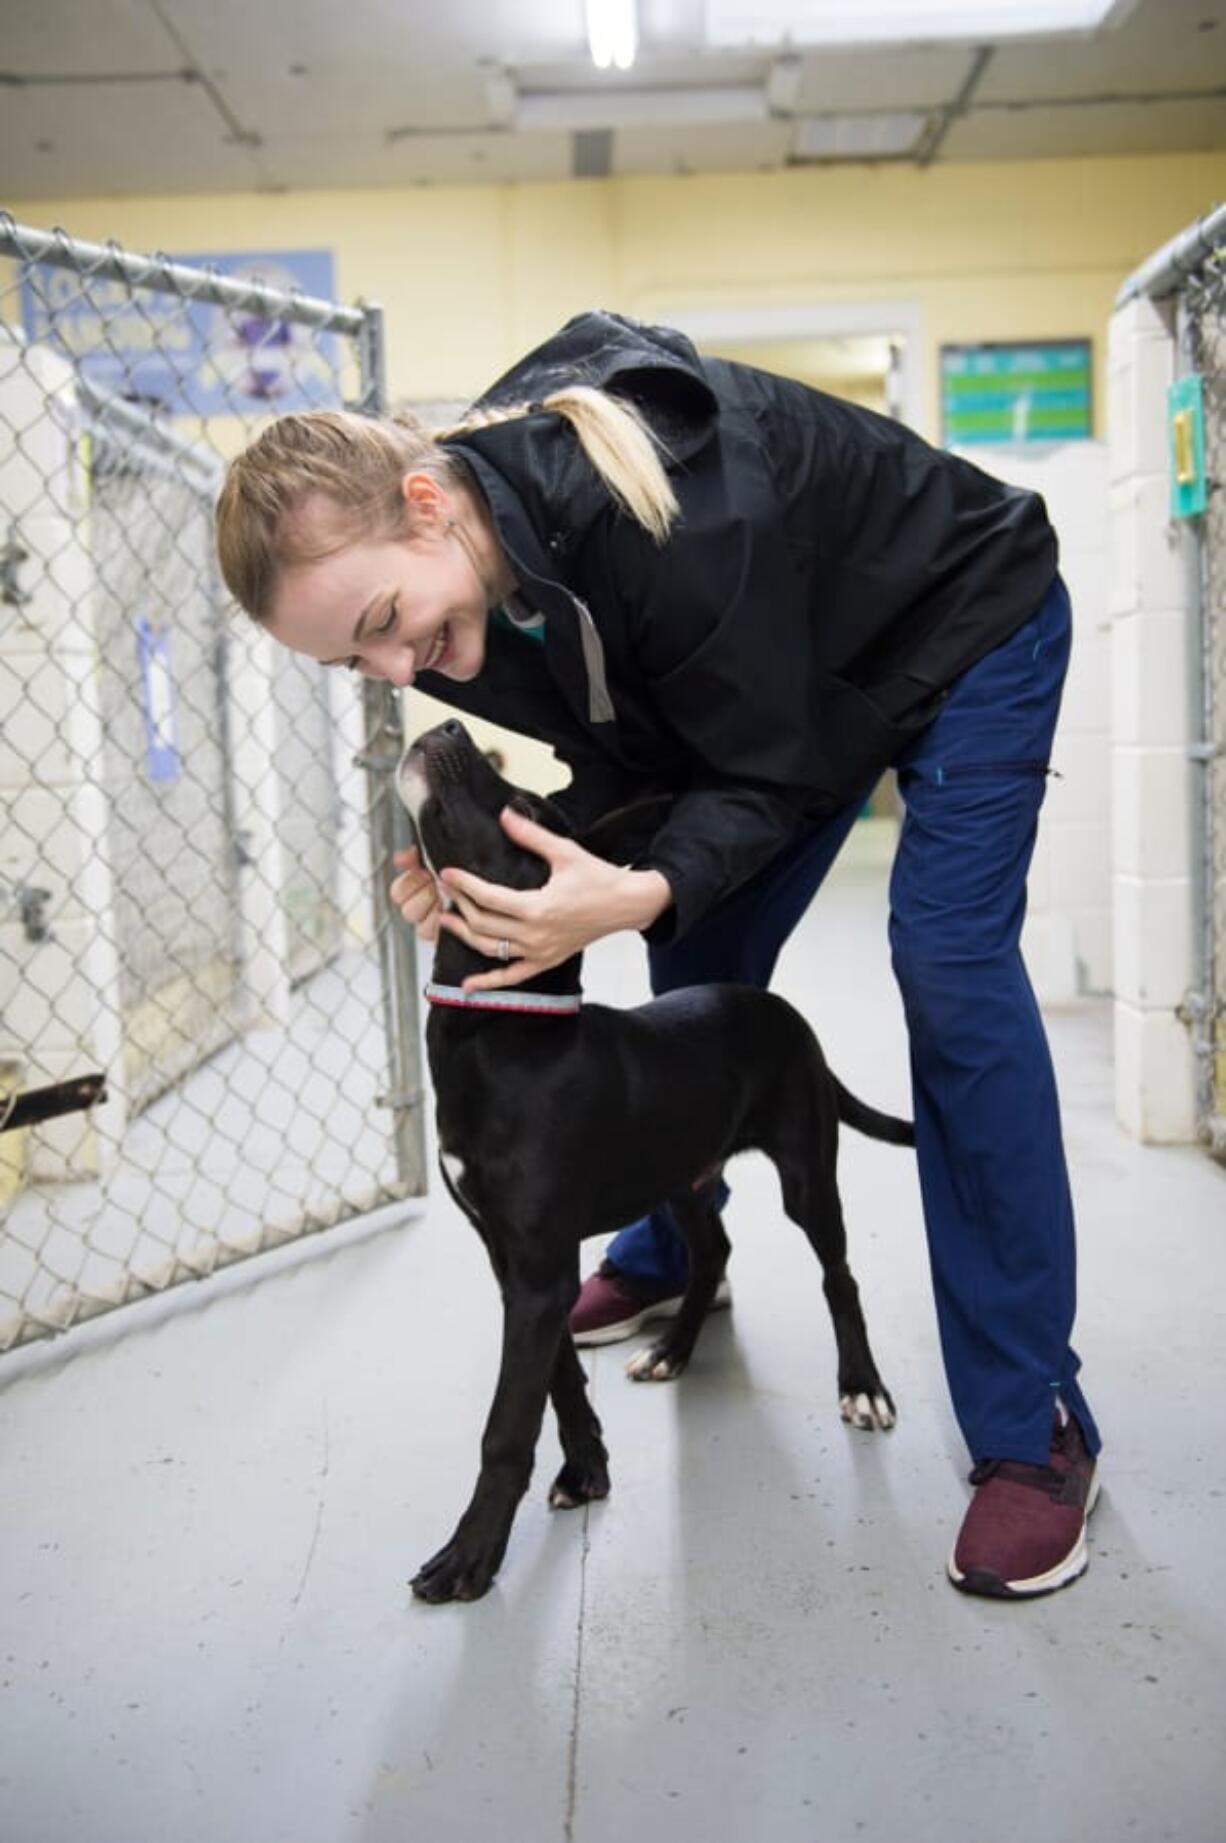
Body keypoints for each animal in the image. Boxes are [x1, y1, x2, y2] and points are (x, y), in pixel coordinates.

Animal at [396, 711, 914, 1607]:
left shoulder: (538, 1270)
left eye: (524, 806)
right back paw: (673, 1347)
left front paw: (471, 1554)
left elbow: (507, 1423)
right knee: (713, 1249)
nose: (454, 723)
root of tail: (777, 1006)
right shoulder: (516, 1264)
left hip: (806, 1173)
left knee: (837, 1275)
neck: (506, 1026)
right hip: (679, 1175)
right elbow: (559, 1379)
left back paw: (861, 1384)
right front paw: (587, 1468)